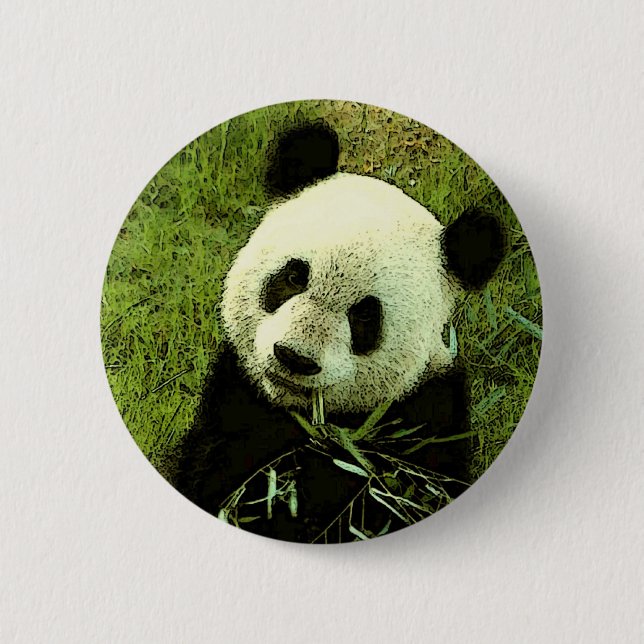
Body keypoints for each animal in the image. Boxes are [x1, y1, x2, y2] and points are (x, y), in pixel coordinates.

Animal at [175, 123, 504, 543]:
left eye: (365, 316)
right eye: (294, 277)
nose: (294, 357)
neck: (316, 426)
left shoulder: (425, 423)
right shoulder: (231, 407)